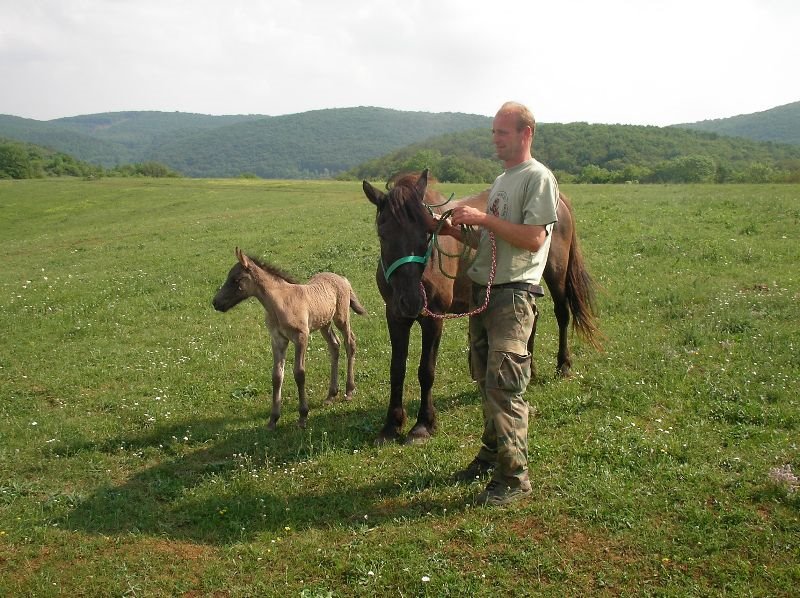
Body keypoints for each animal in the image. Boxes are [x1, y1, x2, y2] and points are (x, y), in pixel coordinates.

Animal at [362, 169, 600, 446]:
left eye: (426, 233)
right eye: (383, 233)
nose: (411, 300)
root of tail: (559, 200)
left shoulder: (434, 319)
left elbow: (426, 371)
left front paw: (423, 424)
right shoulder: (395, 316)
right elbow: (397, 369)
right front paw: (391, 425)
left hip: (556, 272)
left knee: (562, 314)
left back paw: (563, 365)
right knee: (532, 317)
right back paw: (529, 371)